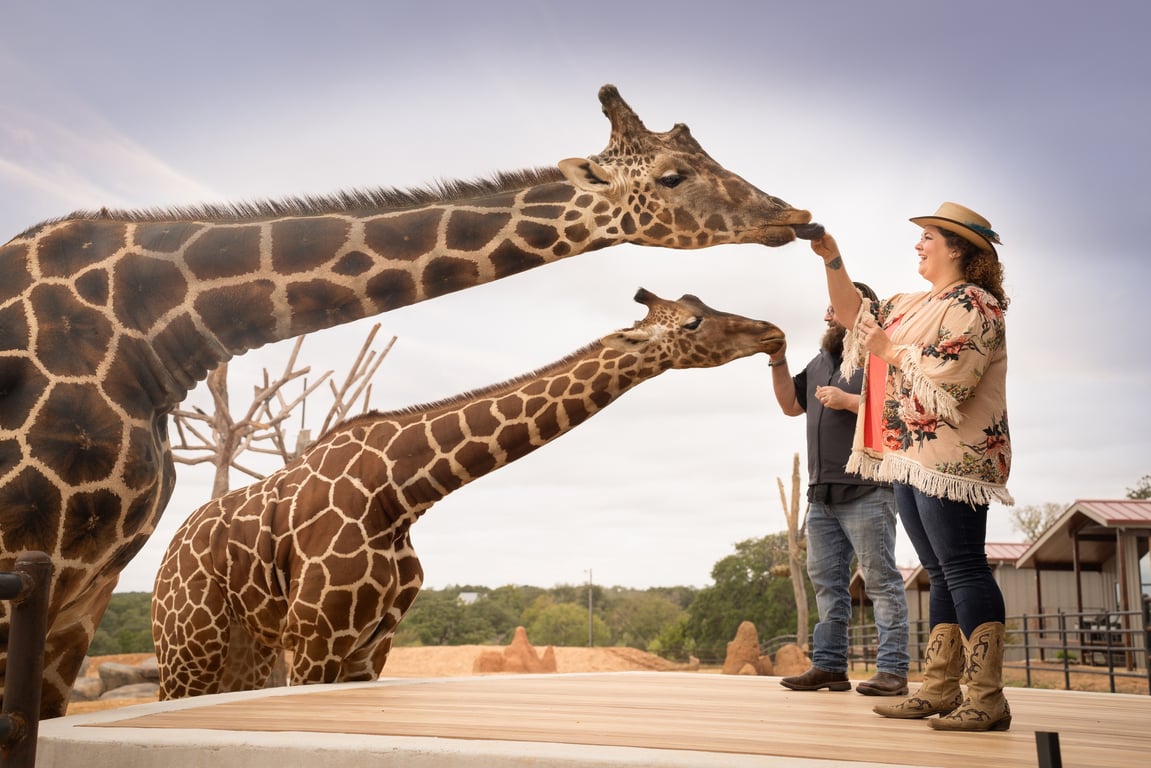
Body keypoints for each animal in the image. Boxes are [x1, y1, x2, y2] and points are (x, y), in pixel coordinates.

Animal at [151, 287, 785, 699]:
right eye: (693, 323)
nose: (772, 332)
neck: (399, 494)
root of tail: (170, 549)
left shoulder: (370, 646)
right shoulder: (315, 638)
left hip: (244, 647)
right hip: (187, 645)